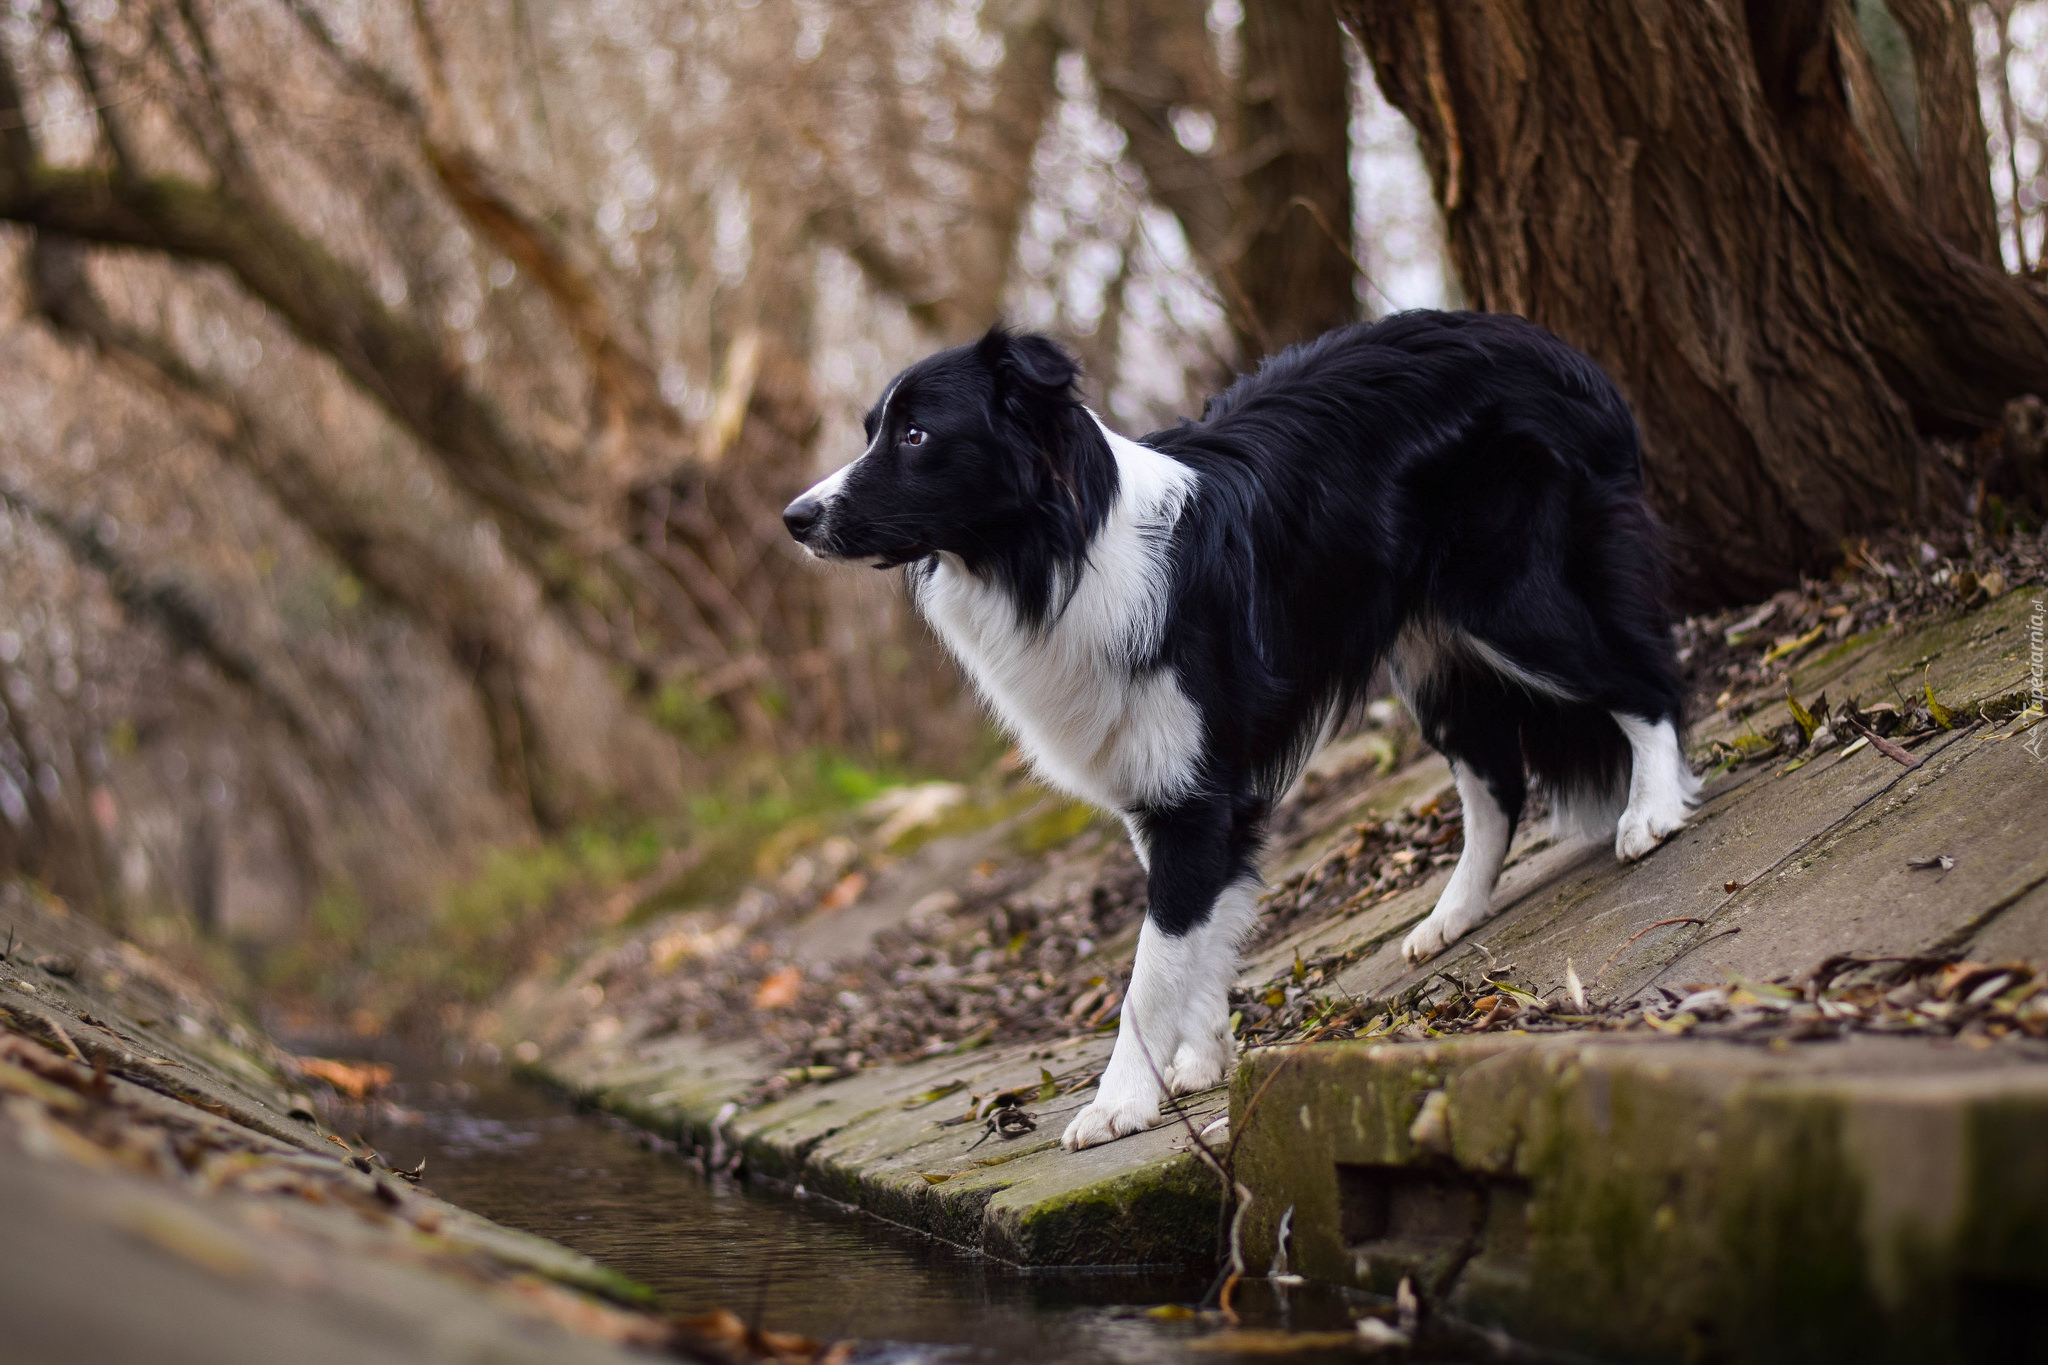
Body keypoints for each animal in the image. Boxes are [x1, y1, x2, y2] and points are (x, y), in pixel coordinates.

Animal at [778, 315, 1695, 1146]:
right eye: (873, 430)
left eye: (917, 434)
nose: (794, 517)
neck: (1055, 550)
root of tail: (1556, 349)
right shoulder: (1170, 788)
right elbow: (1203, 931)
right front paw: (1204, 1057)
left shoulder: (1192, 794)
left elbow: (1150, 967)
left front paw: (1119, 1103)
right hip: (1428, 648)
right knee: (1494, 777)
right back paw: (1454, 913)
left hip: (1508, 597)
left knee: (1644, 678)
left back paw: (1650, 812)